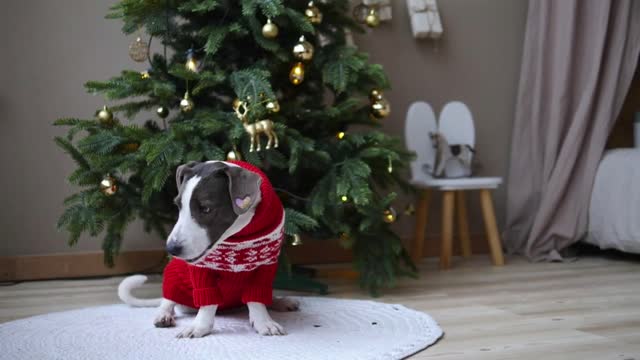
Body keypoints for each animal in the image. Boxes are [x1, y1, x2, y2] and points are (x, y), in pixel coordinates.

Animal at [118, 160, 298, 338]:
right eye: (178, 206)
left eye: (206, 209)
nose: (171, 249)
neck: (238, 234)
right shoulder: (202, 269)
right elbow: (207, 299)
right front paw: (199, 327)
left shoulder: (265, 265)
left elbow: (257, 296)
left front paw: (264, 322)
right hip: (173, 277)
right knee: (167, 301)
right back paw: (163, 315)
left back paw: (280, 301)